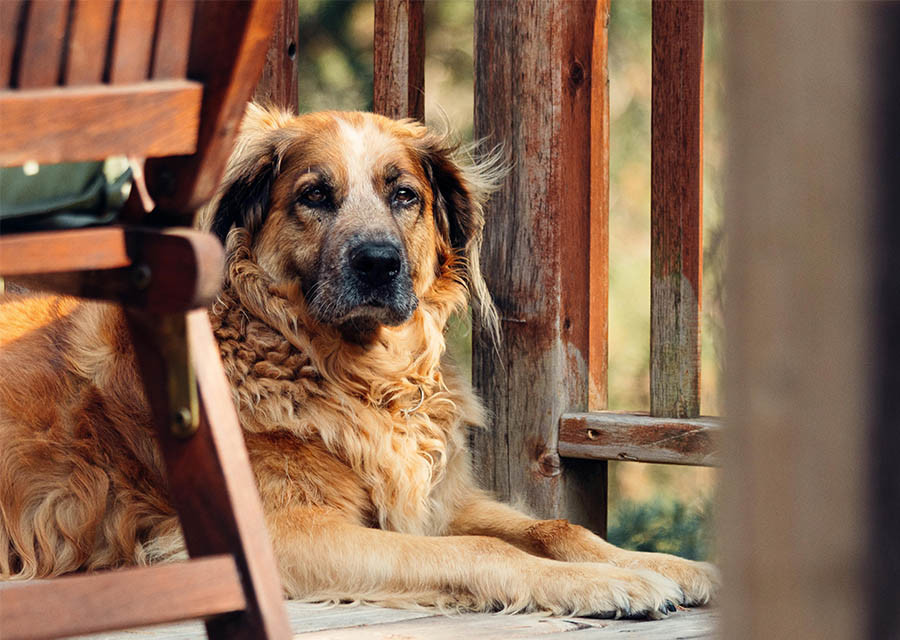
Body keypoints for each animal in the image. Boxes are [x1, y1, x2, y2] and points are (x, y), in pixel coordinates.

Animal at [0, 105, 716, 616]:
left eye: (405, 197)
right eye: (315, 196)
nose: (378, 262)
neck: (358, 377)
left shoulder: (434, 500)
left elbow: (556, 525)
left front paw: (657, 564)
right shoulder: (286, 534)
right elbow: (484, 547)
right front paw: (603, 584)